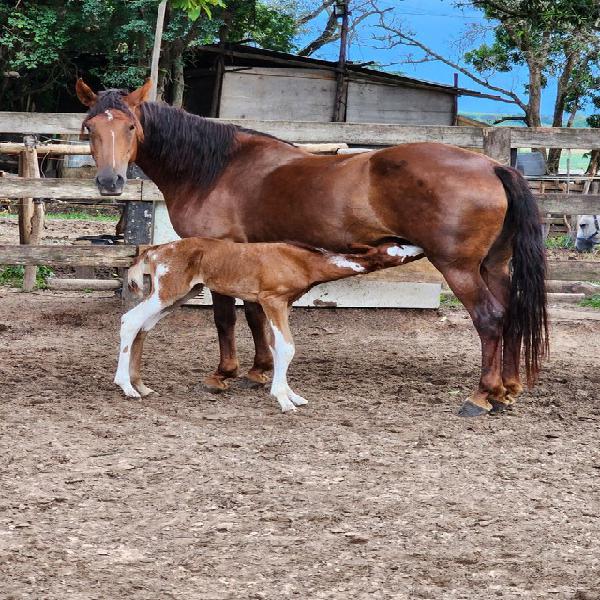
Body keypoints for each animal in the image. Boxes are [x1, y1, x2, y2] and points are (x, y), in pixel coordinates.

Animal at [115, 237, 420, 410]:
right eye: (398, 247)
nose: (420, 246)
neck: (303, 261)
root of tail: (154, 251)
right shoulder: (272, 300)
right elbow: (287, 347)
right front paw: (283, 400)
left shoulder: (284, 305)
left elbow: (276, 347)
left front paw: (291, 395)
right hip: (168, 292)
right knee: (130, 321)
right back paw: (127, 387)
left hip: (179, 295)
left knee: (143, 328)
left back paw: (141, 386)